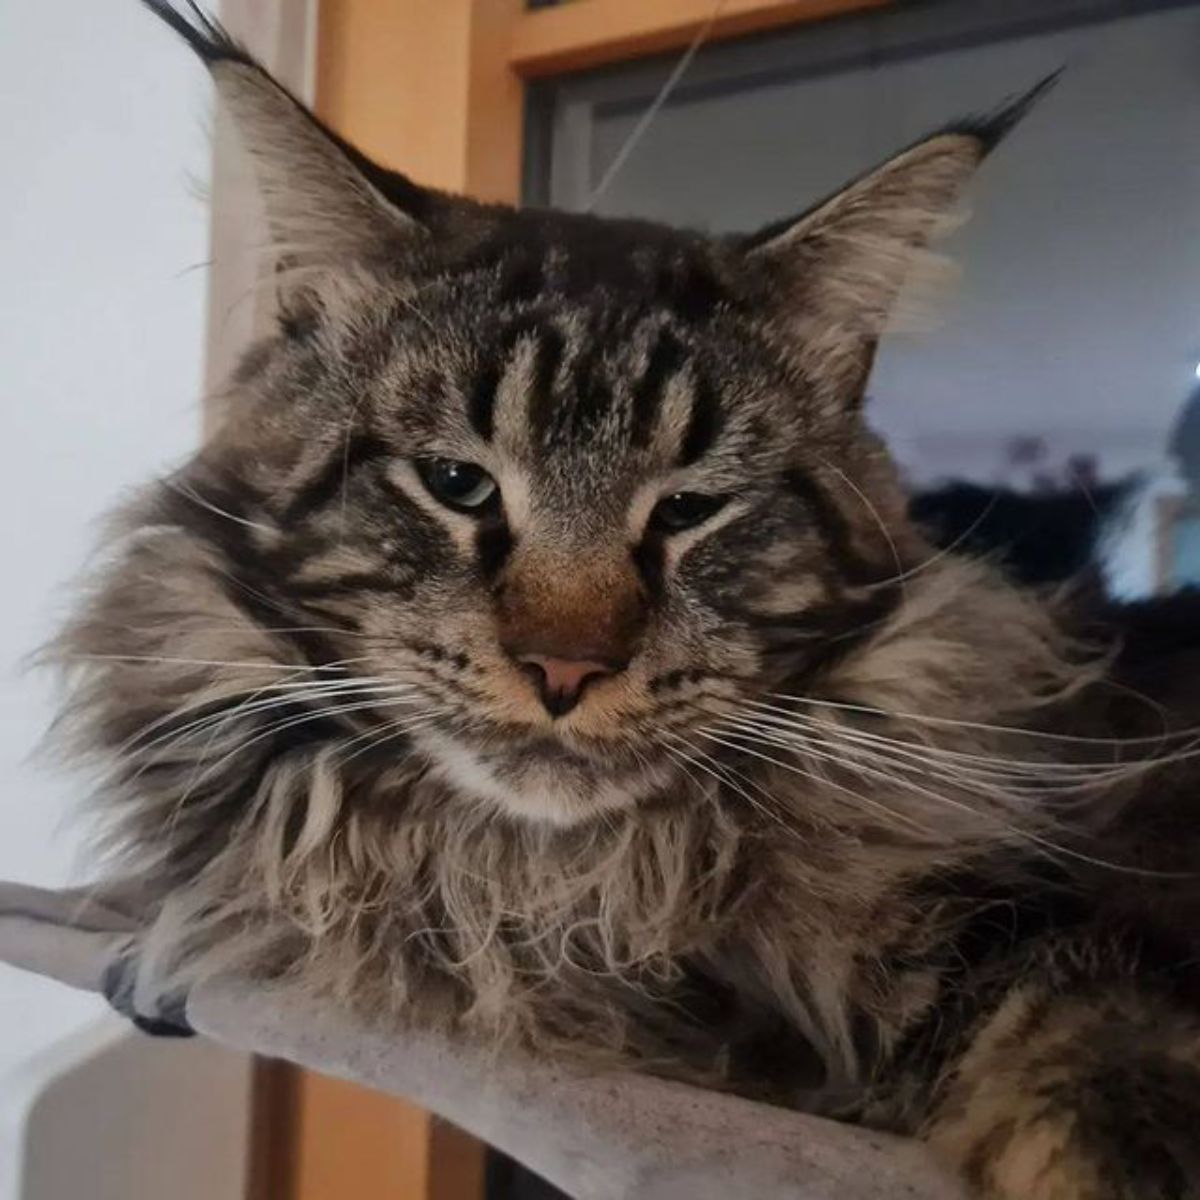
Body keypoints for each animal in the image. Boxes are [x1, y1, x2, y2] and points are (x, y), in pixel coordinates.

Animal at [51, 4, 1200, 1195]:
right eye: (456, 482)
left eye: (690, 508)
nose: (566, 669)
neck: (553, 891)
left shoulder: (1049, 930)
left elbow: (1096, 1054)